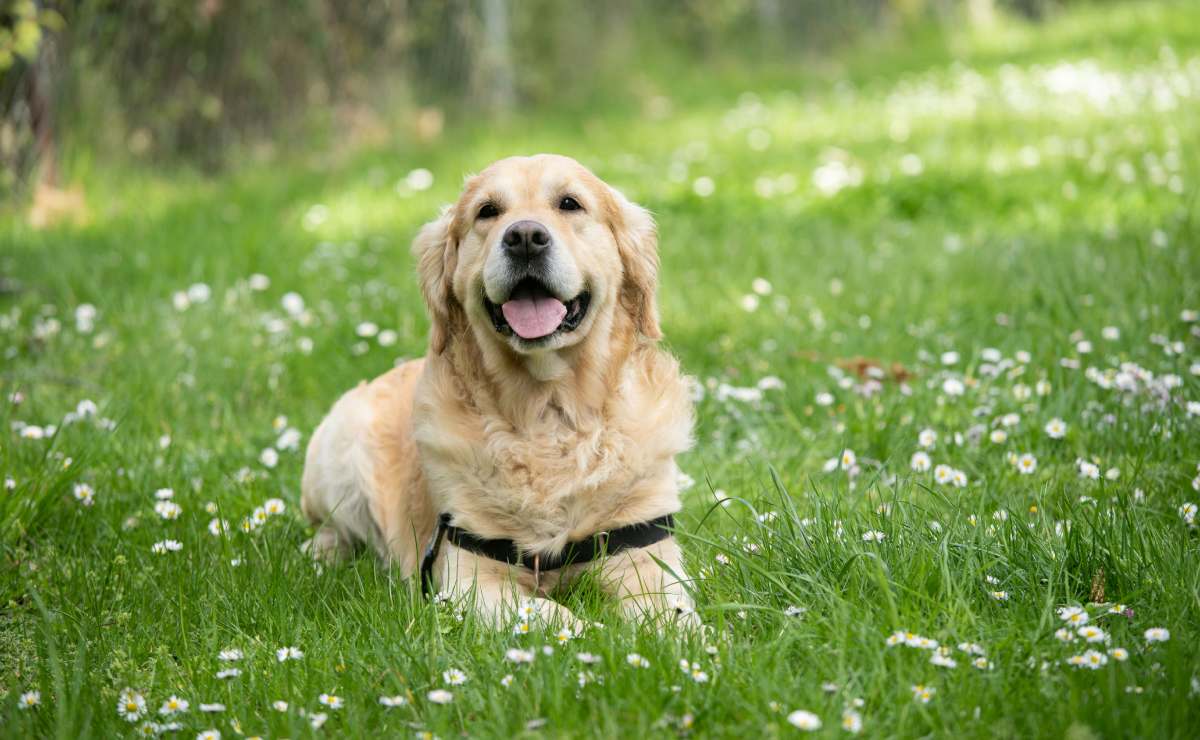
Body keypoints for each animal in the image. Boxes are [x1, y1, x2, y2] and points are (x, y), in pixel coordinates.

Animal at [296, 152, 700, 628]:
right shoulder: (468, 579)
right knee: (332, 529)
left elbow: (671, 615)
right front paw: (595, 633)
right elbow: (554, 615)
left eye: (570, 203)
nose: (525, 237)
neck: (548, 413)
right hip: (338, 450)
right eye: (487, 211)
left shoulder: (644, 553)